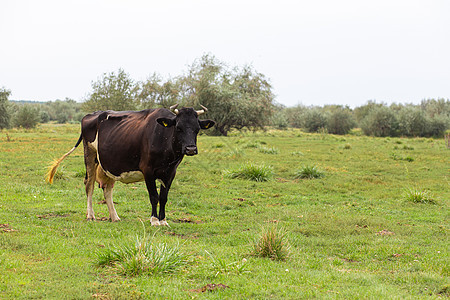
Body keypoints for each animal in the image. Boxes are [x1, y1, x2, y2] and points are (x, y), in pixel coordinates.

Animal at [46, 105, 215, 225]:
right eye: (178, 128)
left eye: (197, 129)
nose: (191, 149)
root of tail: (91, 114)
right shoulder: (148, 171)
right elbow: (154, 196)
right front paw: (154, 220)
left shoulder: (170, 172)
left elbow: (163, 197)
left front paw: (163, 220)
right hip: (90, 154)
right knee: (89, 184)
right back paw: (91, 215)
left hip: (110, 163)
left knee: (107, 189)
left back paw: (114, 217)